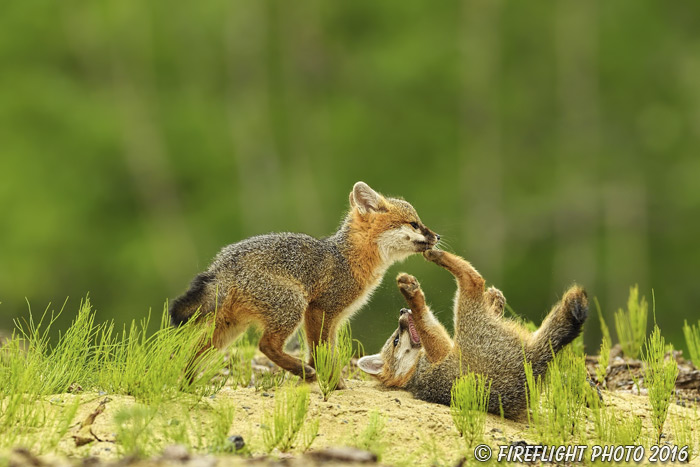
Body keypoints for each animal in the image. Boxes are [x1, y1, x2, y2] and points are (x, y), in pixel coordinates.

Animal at [170, 181, 440, 382]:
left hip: (230, 328)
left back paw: (188, 384)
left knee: (195, 352)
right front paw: (330, 382)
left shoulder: (334, 319)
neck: (347, 258)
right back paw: (302, 371)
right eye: (414, 224)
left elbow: (327, 352)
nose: (437, 236)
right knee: (265, 344)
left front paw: (330, 382)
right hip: (292, 305)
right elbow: (322, 352)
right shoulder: (319, 310)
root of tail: (223, 264)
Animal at [358, 250, 588, 418]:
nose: (402, 312)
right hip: (466, 311)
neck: (414, 371)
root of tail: (536, 360)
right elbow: (425, 320)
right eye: (396, 340)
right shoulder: (438, 350)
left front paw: (495, 302)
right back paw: (434, 259)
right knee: (473, 279)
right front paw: (415, 297)